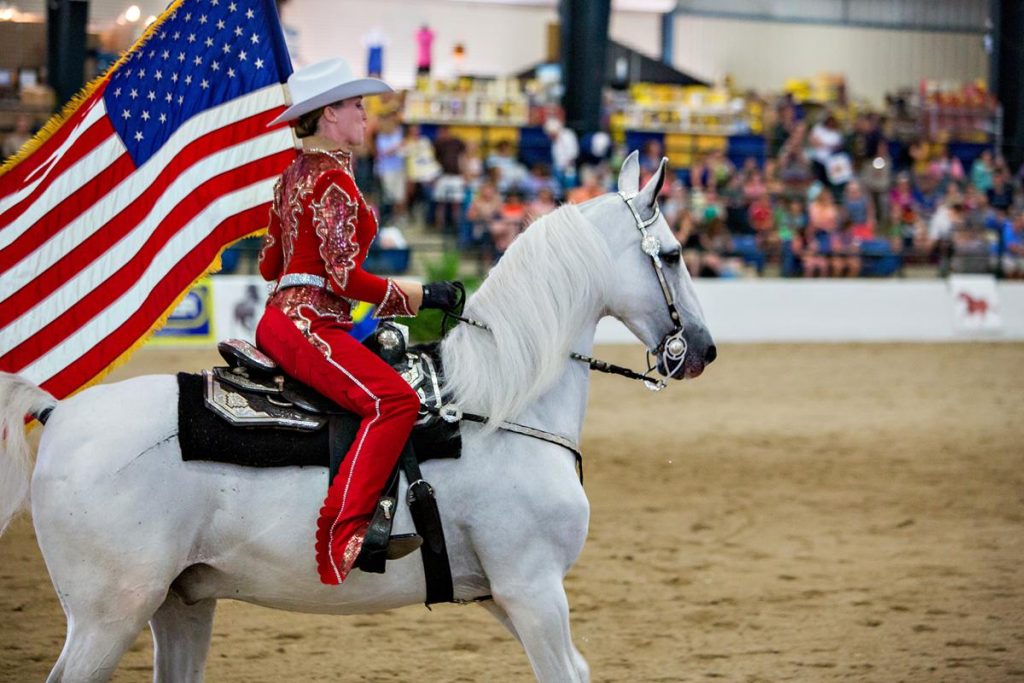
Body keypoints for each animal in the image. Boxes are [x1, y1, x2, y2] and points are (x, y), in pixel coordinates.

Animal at [0, 151, 716, 682]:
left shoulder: (502, 593)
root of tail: (60, 413)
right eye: (674, 253)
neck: (500, 407)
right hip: (109, 615)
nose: (703, 349)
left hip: (180, 603)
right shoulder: (533, 589)